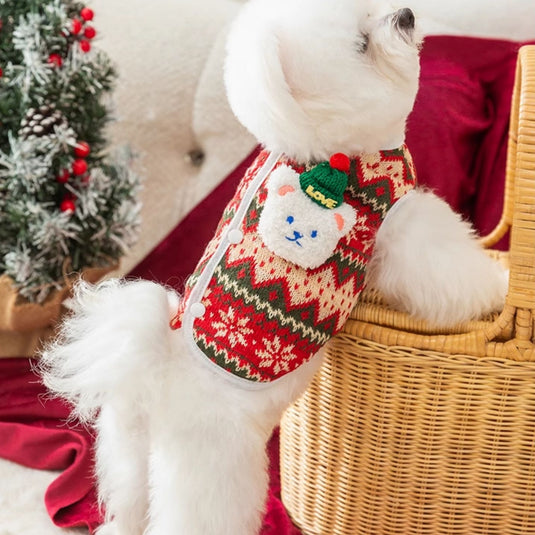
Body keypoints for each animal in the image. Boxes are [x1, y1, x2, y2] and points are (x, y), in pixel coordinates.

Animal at [39, 1, 508, 535]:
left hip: (128, 458)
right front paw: (503, 286)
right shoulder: (404, 224)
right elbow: (455, 270)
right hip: (212, 470)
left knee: (127, 508)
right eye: (362, 44)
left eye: (373, 10)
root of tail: (155, 378)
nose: (406, 15)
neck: (337, 146)